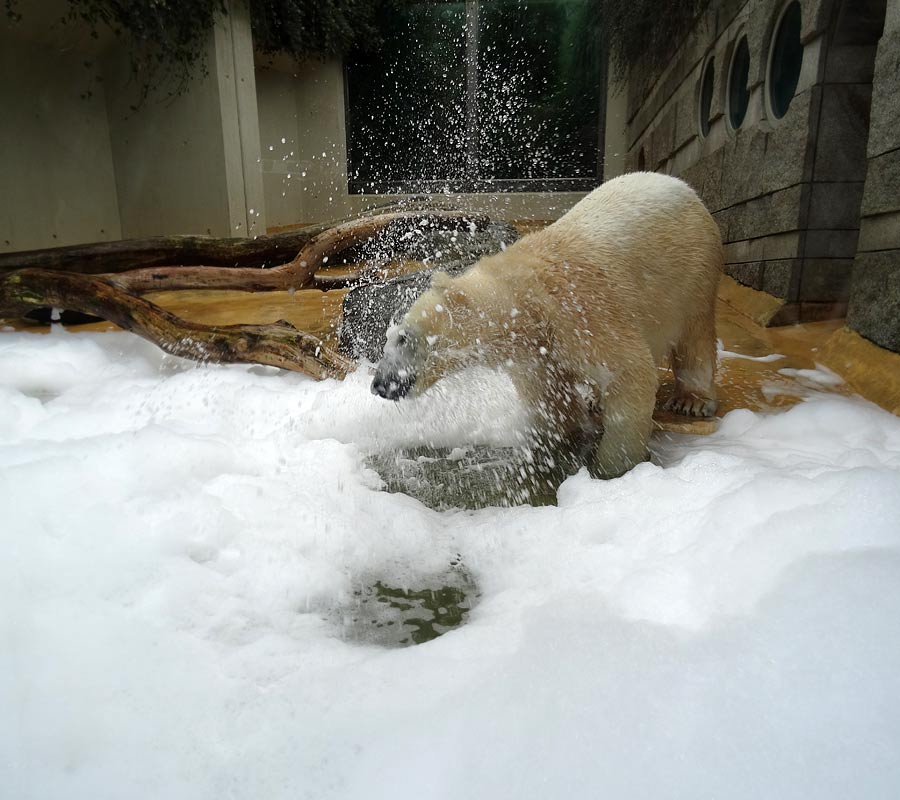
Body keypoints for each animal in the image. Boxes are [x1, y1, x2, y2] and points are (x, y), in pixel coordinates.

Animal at [370, 172, 720, 478]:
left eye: (403, 338)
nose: (379, 385)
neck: (525, 299)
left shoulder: (583, 311)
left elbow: (629, 372)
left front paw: (609, 467)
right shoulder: (536, 351)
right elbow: (550, 398)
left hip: (694, 268)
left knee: (695, 334)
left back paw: (692, 400)